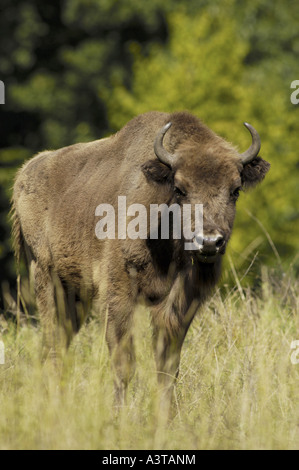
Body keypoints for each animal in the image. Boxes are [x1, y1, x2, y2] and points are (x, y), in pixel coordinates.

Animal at [11, 111, 270, 404]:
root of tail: (24, 174)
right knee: (54, 341)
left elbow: (167, 367)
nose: (209, 241)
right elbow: (123, 361)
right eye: (179, 189)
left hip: (76, 294)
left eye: (235, 190)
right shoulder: (119, 295)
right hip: (46, 278)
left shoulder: (178, 303)